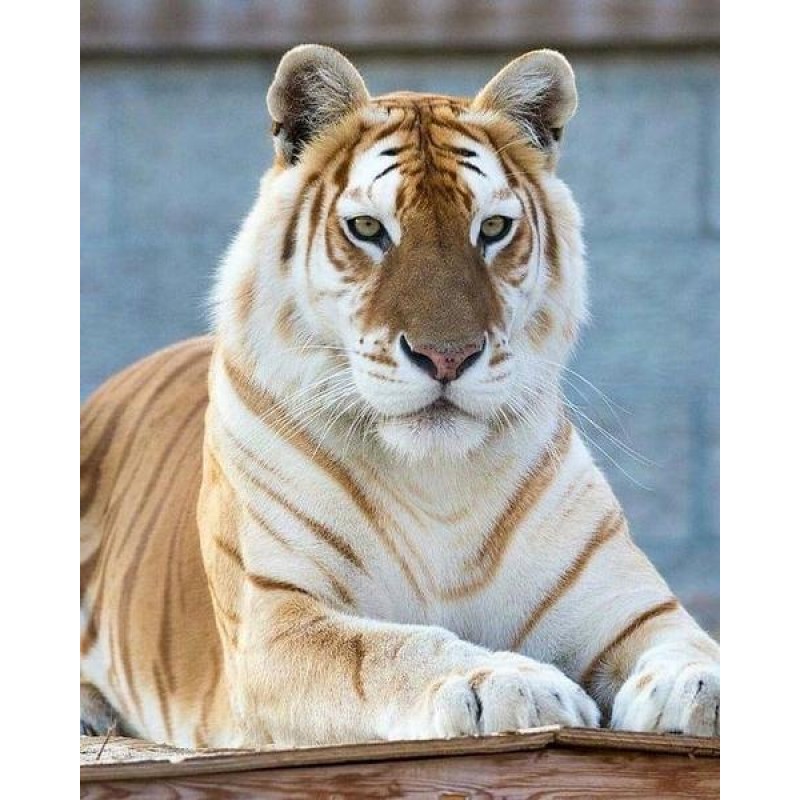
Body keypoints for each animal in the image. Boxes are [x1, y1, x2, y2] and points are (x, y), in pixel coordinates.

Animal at [80, 44, 720, 748]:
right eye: (367, 228)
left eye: (493, 228)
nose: (447, 357)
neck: (437, 483)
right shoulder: (278, 619)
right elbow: (396, 649)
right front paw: (508, 682)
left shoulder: (628, 605)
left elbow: (691, 642)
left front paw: (699, 685)